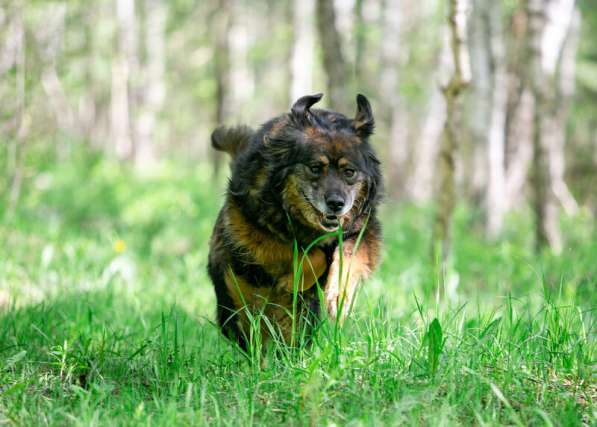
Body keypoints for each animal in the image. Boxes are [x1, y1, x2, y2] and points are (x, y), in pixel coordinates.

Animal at [205, 94, 382, 352]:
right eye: (315, 168)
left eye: (349, 171)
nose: (336, 204)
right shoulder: (251, 230)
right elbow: (312, 255)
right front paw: (293, 280)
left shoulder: (363, 232)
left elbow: (347, 258)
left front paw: (339, 295)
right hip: (236, 300)